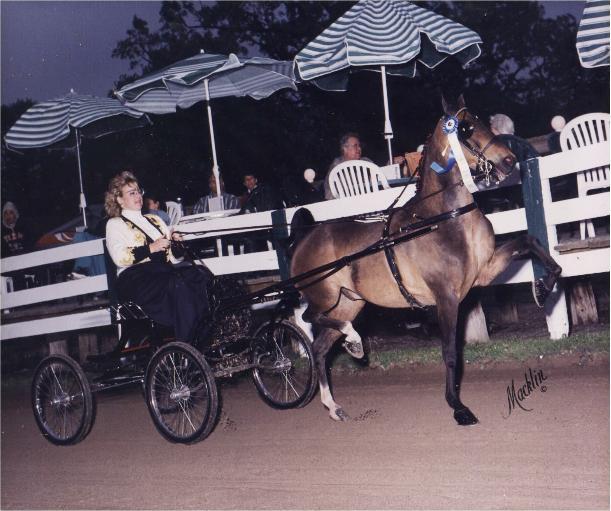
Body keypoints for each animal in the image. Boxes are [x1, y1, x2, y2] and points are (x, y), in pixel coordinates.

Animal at [292, 94, 564, 426]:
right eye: (465, 128)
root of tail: (305, 237)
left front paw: (544, 288)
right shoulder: (445, 296)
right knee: (309, 318)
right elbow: (450, 352)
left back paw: (335, 400)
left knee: (319, 348)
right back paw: (352, 340)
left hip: (349, 303)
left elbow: (530, 241)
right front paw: (458, 407)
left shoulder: (485, 271)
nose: (509, 161)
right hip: (325, 297)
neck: (442, 218)